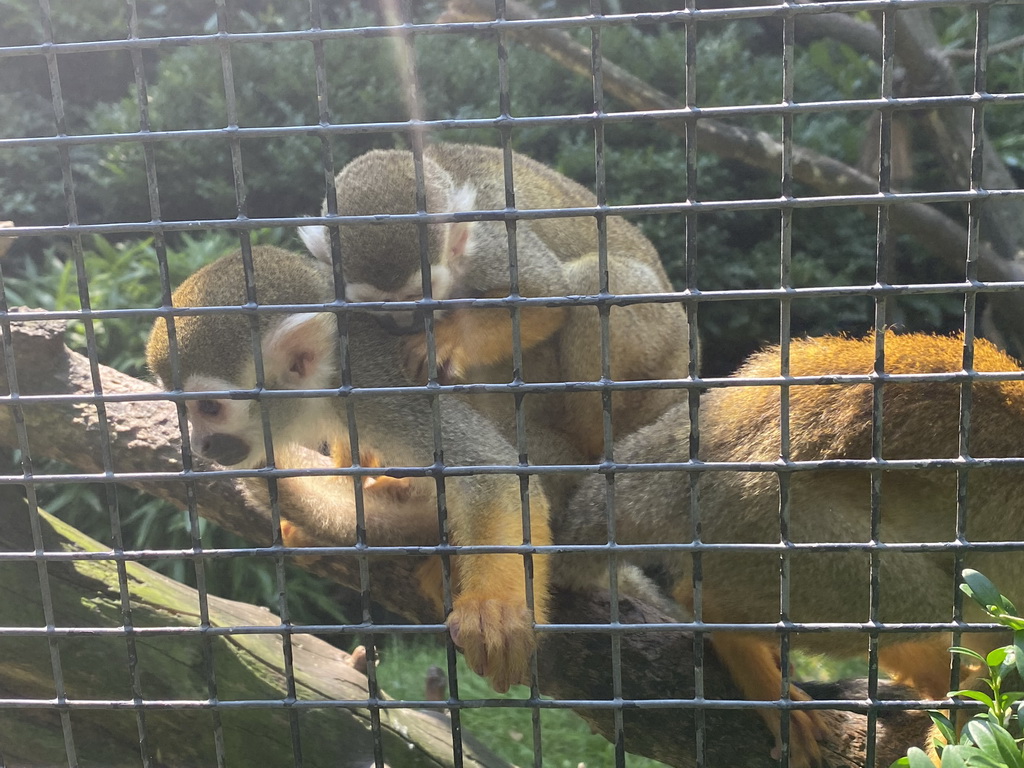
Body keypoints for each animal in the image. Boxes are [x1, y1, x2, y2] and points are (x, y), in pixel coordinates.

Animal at [144, 246, 552, 696]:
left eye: (210, 408)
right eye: (186, 410)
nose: (200, 444)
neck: (330, 375)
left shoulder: (384, 387)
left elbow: (490, 470)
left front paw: (494, 607)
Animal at [299, 142, 688, 460]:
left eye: (415, 297)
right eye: (381, 305)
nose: (403, 323)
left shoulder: (487, 236)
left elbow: (544, 293)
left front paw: (449, 339)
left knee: (595, 277)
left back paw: (588, 442)